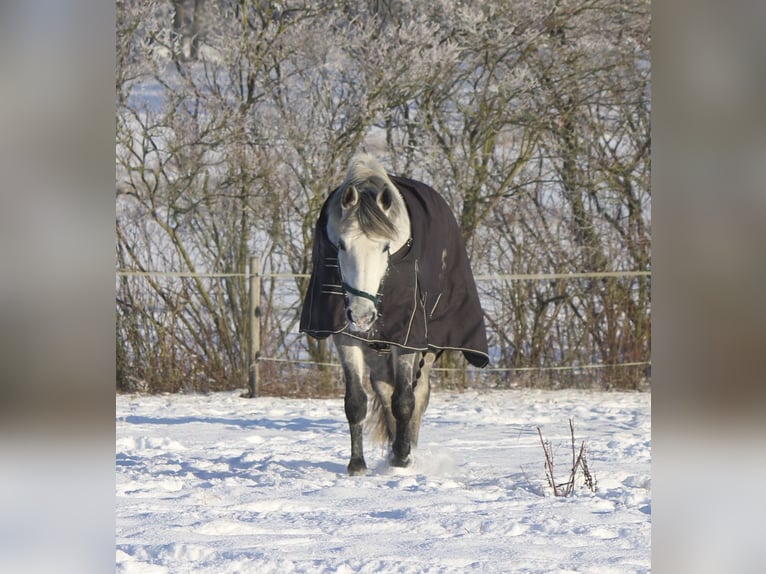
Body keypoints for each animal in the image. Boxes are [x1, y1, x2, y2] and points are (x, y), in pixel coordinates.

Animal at [300, 154, 489, 475]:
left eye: (385, 247)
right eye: (341, 245)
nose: (362, 315)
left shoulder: (407, 338)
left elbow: (405, 401)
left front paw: (402, 458)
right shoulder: (345, 337)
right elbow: (356, 402)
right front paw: (357, 465)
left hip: (427, 348)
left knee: (419, 393)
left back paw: (407, 449)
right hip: (377, 349)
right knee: (384, 391)